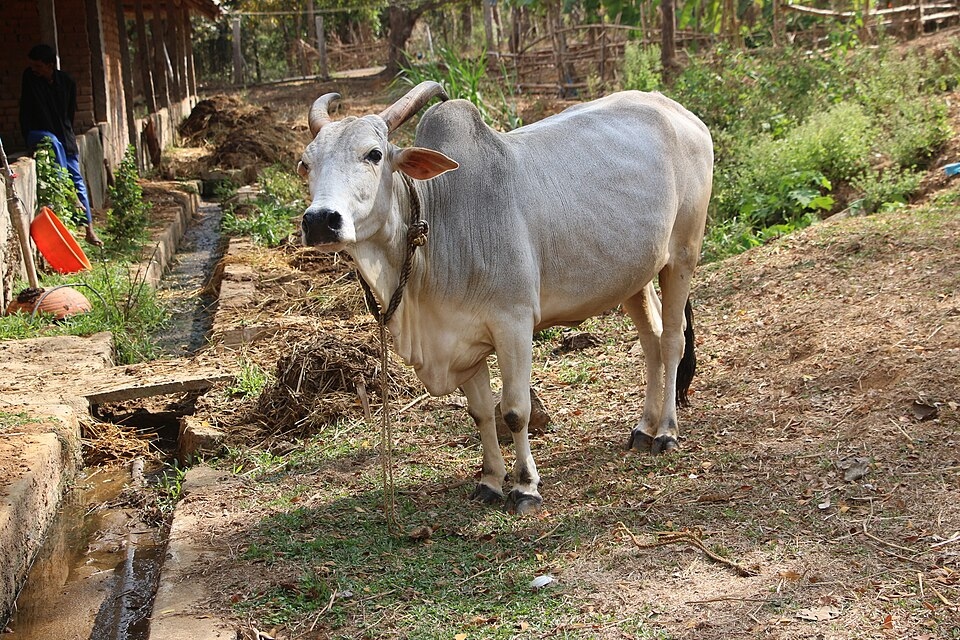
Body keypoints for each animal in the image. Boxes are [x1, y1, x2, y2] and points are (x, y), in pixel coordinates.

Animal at [298, 81, 713, 514]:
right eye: (306, 163)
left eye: (374, 154)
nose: (320, 220)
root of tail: (678, 112)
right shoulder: (463, 339)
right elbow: (481, 413)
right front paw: (491, 481)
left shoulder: (513, 324)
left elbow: (514, 411)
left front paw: (526, 486)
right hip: (634, 275)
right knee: (650, 341)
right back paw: (644, 428)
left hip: (683, 256)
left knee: (671, 341)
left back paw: (666, 432)